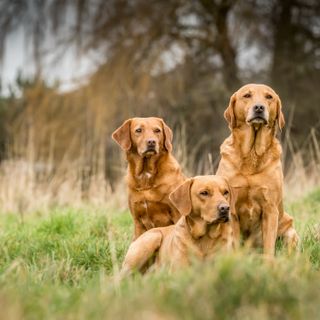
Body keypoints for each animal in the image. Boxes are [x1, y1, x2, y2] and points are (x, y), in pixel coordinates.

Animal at [216, 83, 298, 255]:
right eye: (247, 95)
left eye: (269, 97)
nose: (259, 107)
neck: (252, 153)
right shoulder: (232, 210)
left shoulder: (270, 209)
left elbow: (269, 246)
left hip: (289, 231)